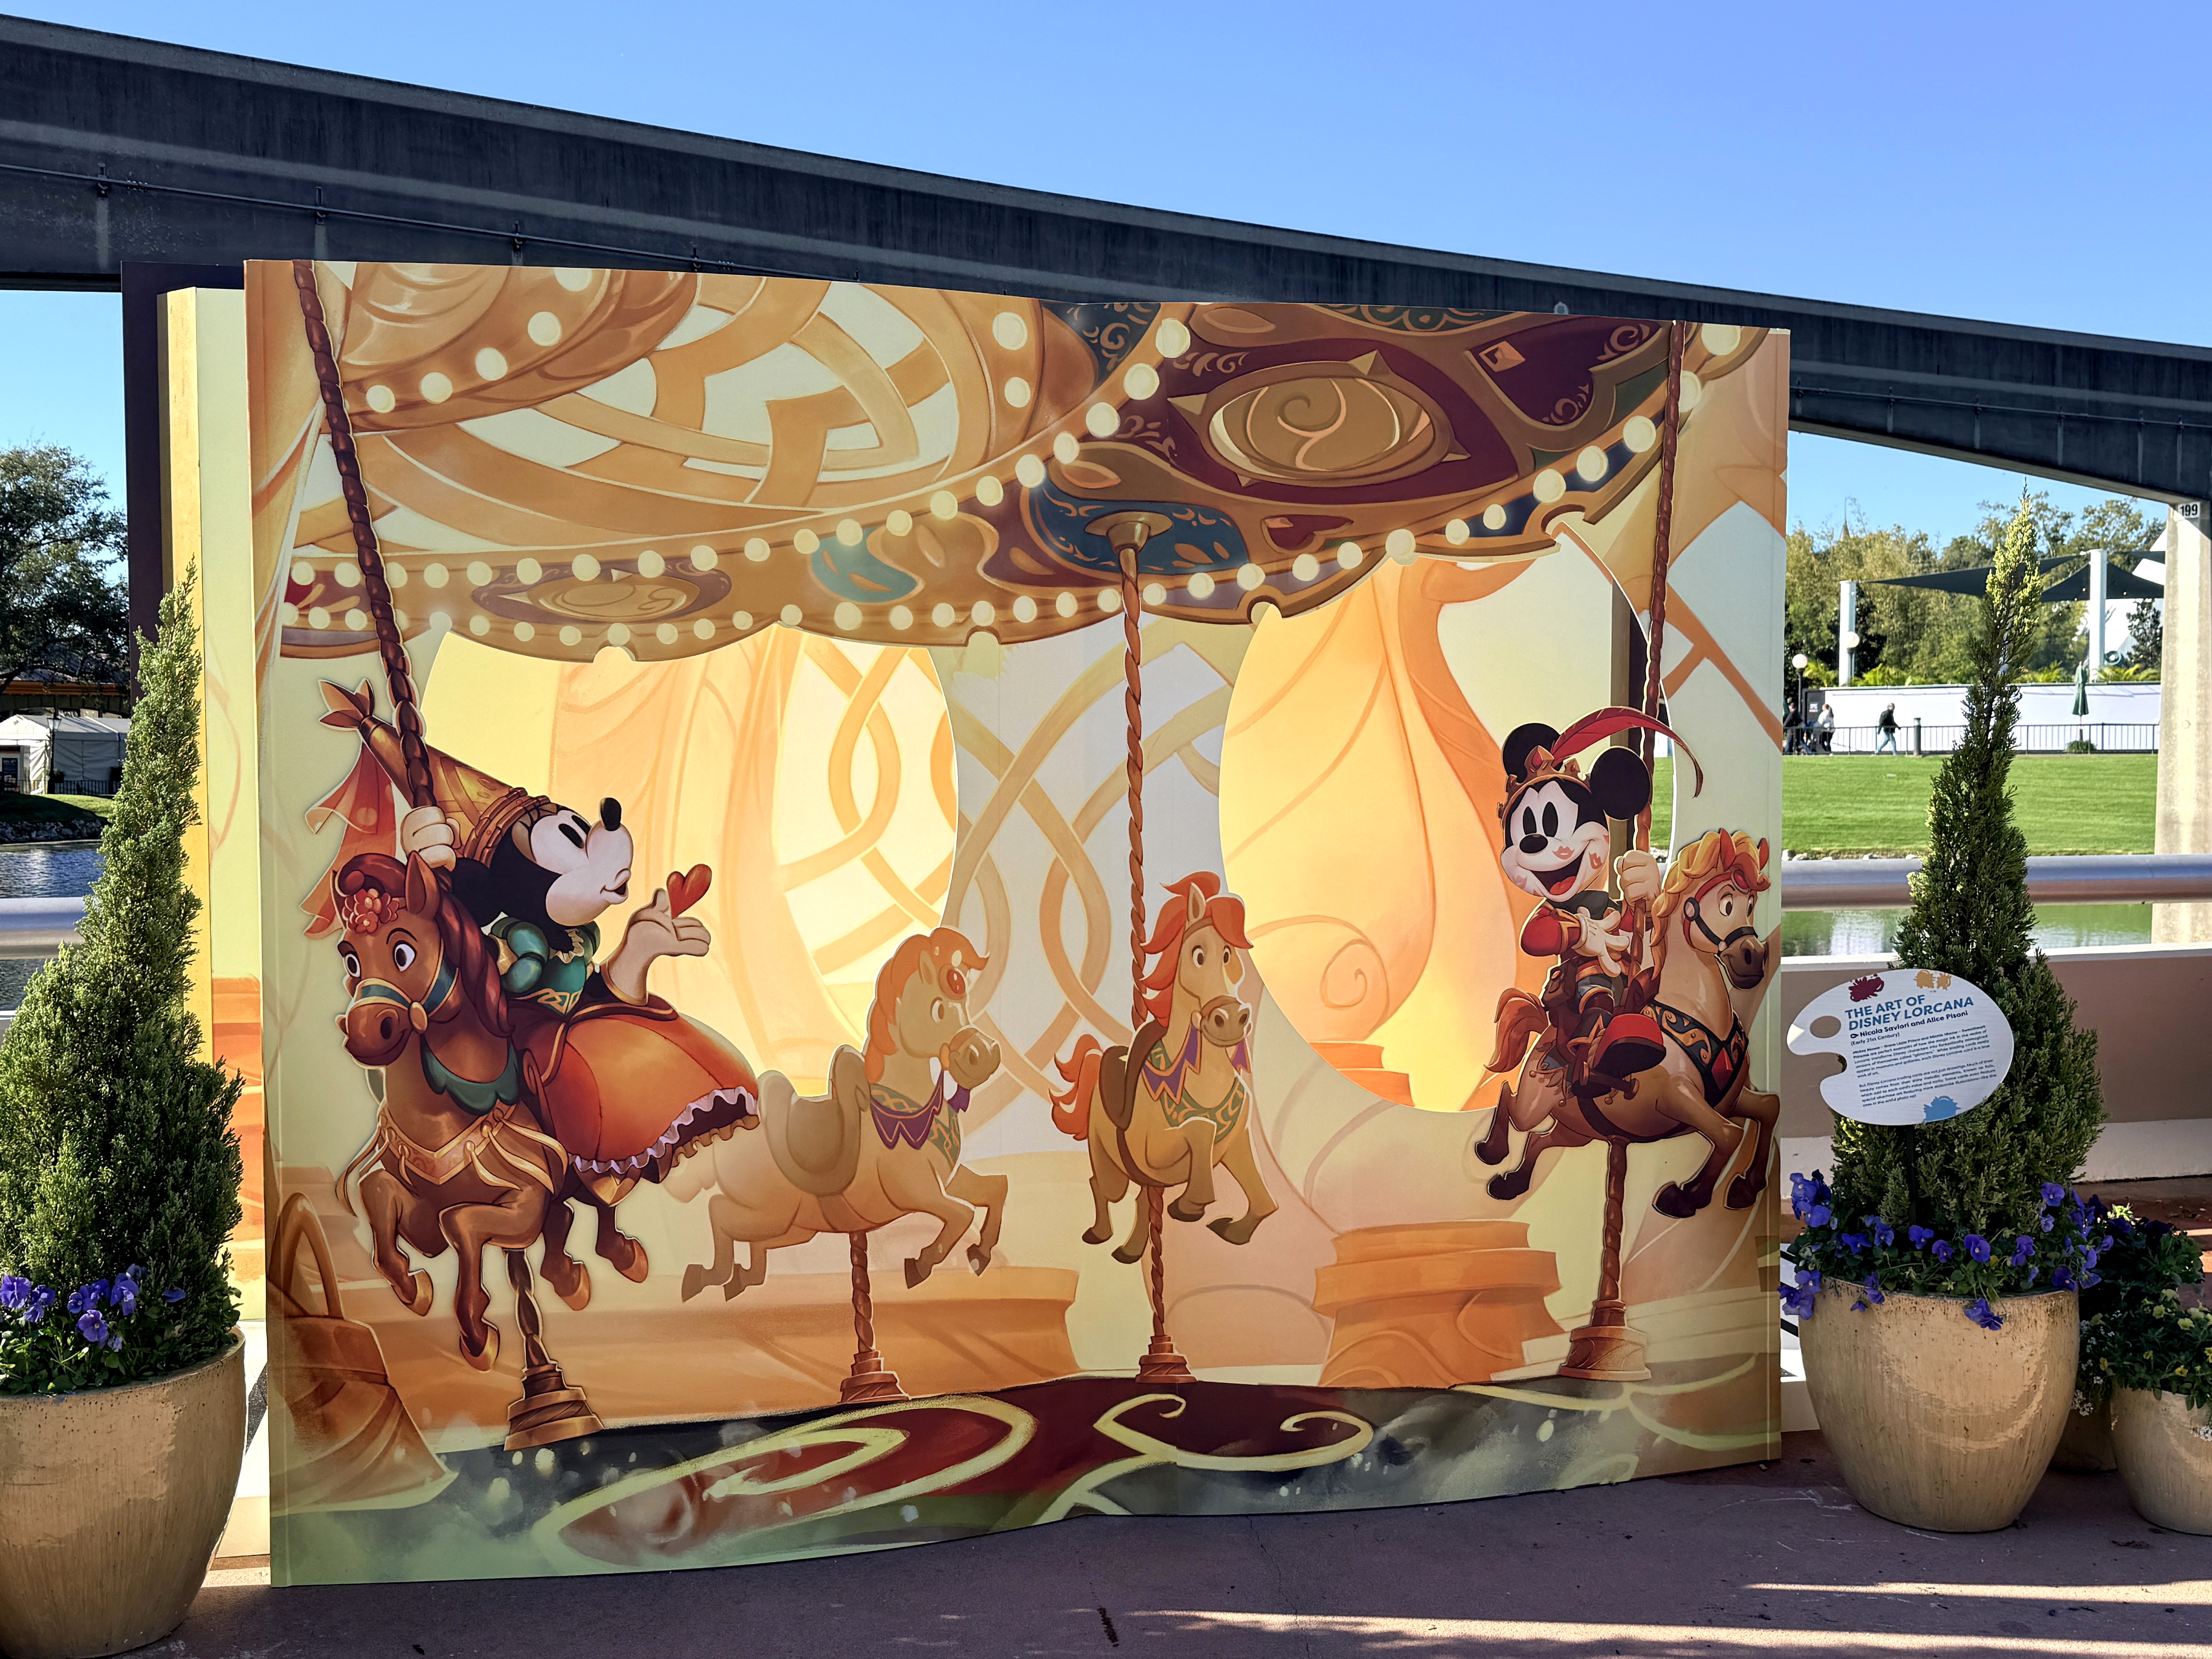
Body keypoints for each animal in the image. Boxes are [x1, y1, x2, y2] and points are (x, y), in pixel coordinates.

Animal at [332, 852, 647, 1370]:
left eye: (404, 952)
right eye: (351, 958)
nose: (364, 1032)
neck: (443, 1114)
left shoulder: (526, 1200)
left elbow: (461, 1223)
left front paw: (479, 1335)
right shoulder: (421, 1205)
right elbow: (378, 1192)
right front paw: (414, 1288)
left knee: (601, 1200)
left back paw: (623, 1256)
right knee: (565, 1220)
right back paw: (569, 1278)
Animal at [665, 926, 1007, 1300]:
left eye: (965, 1003)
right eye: (938, 1010)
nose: (984, 1056)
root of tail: (729, 1135)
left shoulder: (947, 1180)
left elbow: (995, 1188)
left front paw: (980, 1254)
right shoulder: (915, 1191)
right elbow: (962, 1213)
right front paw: (922, 1263)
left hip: (793, 1225)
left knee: (757, 1245)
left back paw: (741, 1277)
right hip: (768, 1213)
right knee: (718, 1211)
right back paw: (705, 1276)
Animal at [1051, 871, 1277, 1259]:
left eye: (1229, 954)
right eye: (1198, 954)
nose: (1231, 1020)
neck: (1206, 1080)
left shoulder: (1239, 1145)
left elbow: (1265, 1202)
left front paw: (1230, 1228)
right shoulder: (1152, 1153)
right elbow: (1199, 1128)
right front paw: (1193, 1203)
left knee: (1142, 1200)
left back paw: (1130, 1250)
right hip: (1109, 1162)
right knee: (1102, 1185)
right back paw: (1100, 1233)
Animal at [1474, 829, 1783, 1219]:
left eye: (1752, 904)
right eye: (1727, 904)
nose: (1753, 959)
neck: (1699, 1014)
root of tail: (1547, 1034)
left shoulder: (1729, 1099)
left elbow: (1768, 1107)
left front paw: (1747, 1187)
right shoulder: (1674, 1097)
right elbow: (1728, 1134)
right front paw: (1685, 1197)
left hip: (1578, 1129)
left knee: (1538, 1140)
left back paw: (1512, 1182)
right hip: (1535, 1102)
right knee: (1512, 1103)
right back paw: (1492, 1150)